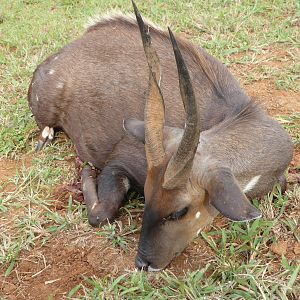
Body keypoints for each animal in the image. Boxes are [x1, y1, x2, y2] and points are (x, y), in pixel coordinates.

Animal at [27, 0, 292, 272]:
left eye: (180, 211)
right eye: (146, 194)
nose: (143, 262)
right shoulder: (119, 162)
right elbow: (101, 214)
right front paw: (86, 171)